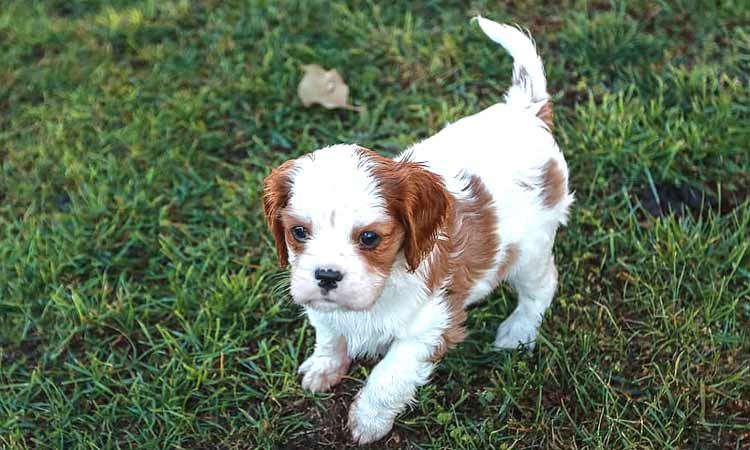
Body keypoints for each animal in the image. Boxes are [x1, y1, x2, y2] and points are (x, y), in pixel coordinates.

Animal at [264, 16, 576, 442]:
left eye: (369, 238)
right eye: (299, 232)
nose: (326, 275)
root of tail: (525, 110)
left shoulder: (429, 328)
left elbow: (388, 376)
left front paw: (368, 422)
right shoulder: (322, 306)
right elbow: (329, 334)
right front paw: (323, 368)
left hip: (530, 250)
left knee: (540, 288)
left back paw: (518, 330)